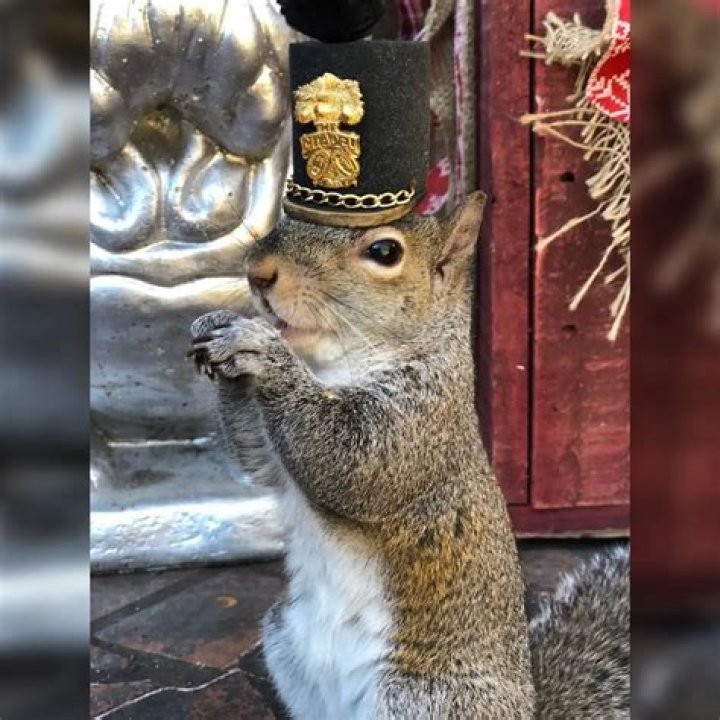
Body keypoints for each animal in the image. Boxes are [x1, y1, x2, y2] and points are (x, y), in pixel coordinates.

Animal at [189, 191, 630, 719]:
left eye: (384, 252)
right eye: (284, 219)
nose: (258, 273)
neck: (331, 368)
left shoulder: (417, 424)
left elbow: (350, 465)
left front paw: (261, 350)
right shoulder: (277, 463)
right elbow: (257, 457)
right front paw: (216, 324)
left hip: (424, 699)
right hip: (285, 647)